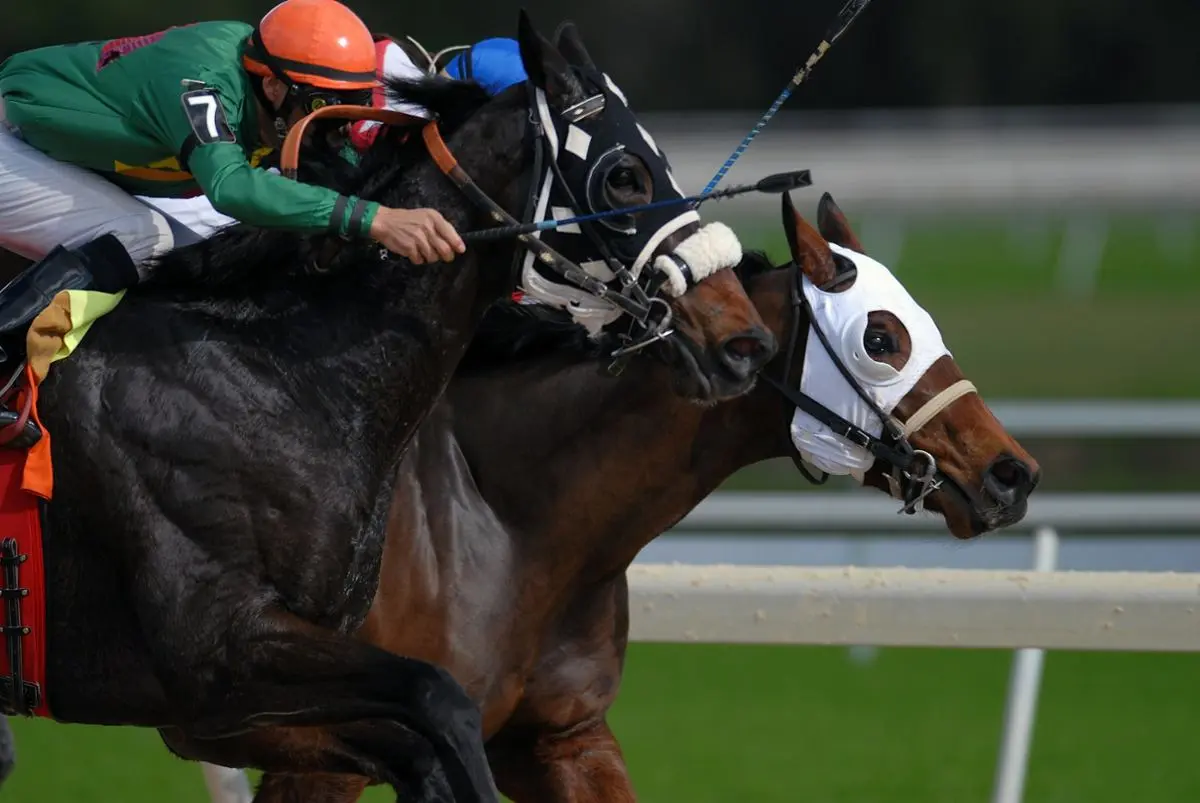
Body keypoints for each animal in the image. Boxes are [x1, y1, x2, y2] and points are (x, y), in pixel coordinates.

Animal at [0, 13, 778, 803]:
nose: (742, 341)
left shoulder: (255, 696)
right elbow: (440, 699)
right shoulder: (217, 654)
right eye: (623, 174)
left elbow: (420, 744)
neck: (276, 373)